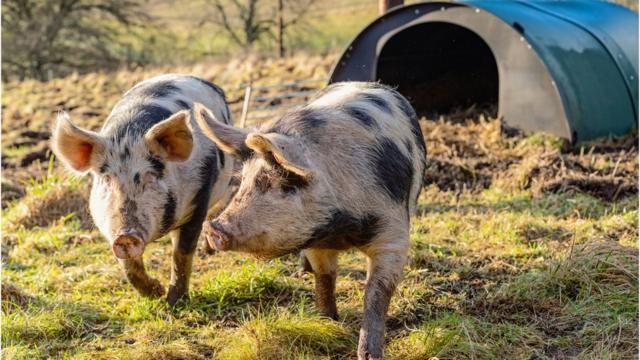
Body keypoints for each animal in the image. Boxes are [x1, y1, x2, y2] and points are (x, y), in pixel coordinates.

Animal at [50, 74, 235, 306]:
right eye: (107, 179)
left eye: (150, 176)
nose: (125, 235)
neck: (128, 136)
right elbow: (129, 266)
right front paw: (155, 293)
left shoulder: (198, 197)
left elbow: (181, 254)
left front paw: (174, 302)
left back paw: (209, 250)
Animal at [192, 82, 428, 360]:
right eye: (243, 181)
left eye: (281, 183)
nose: (212, 228)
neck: (341, 228)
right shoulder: (315, 240)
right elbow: (324, 277)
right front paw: (326, 321)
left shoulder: (393, 234)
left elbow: (376, 293)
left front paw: (368, 355)